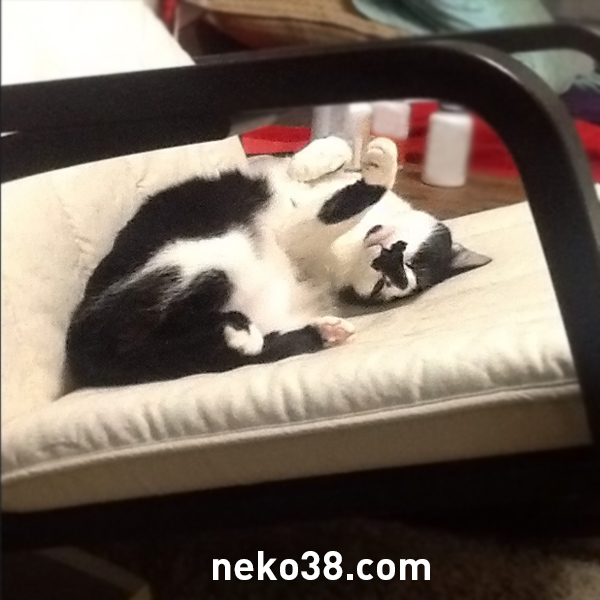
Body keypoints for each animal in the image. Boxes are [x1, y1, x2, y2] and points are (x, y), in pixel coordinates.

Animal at [66, 136, 490, 387]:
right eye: (407, 263)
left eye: (388, 288)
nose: (389, 267)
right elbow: (325, 158)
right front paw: (341, 156)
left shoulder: (300, 234)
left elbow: (342, 205)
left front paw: (376, 167)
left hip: (215, 258)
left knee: (142, 342)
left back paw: (289, 332)